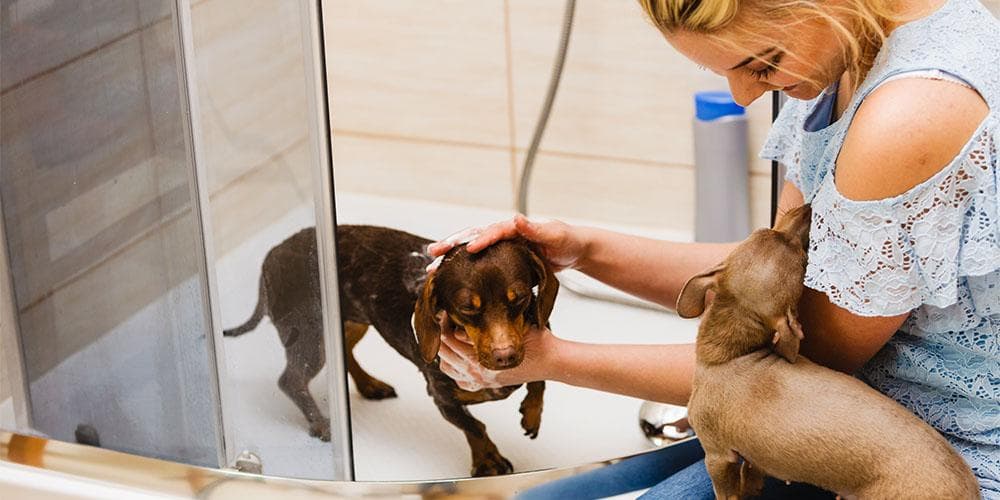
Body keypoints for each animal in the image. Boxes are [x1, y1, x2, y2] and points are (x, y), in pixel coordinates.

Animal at [680, 205, 976, 498]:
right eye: (768, 231)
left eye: (803, 259)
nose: (809, 208)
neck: (734, 354)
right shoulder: (749, 458)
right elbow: (751, 471)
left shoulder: (717, 456)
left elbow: (726, 491)